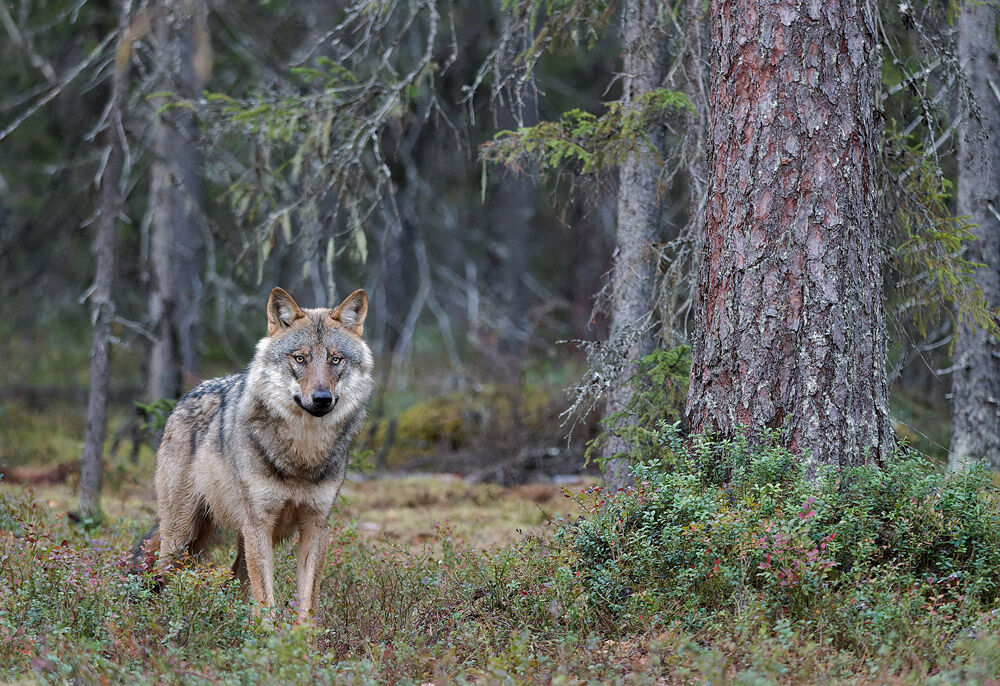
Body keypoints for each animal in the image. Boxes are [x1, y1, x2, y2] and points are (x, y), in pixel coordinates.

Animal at [147, 286, 373, 622]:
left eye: (335, 359)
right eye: (300, 358)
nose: (322, 399)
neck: (301, 455)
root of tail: (184, 397)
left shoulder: (316, 526)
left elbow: (307, 604)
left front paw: (301, 639)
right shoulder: (259, 524)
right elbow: (266, 600)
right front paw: (267, 636)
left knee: (234, 579)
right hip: (182, 536)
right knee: (163, 577)